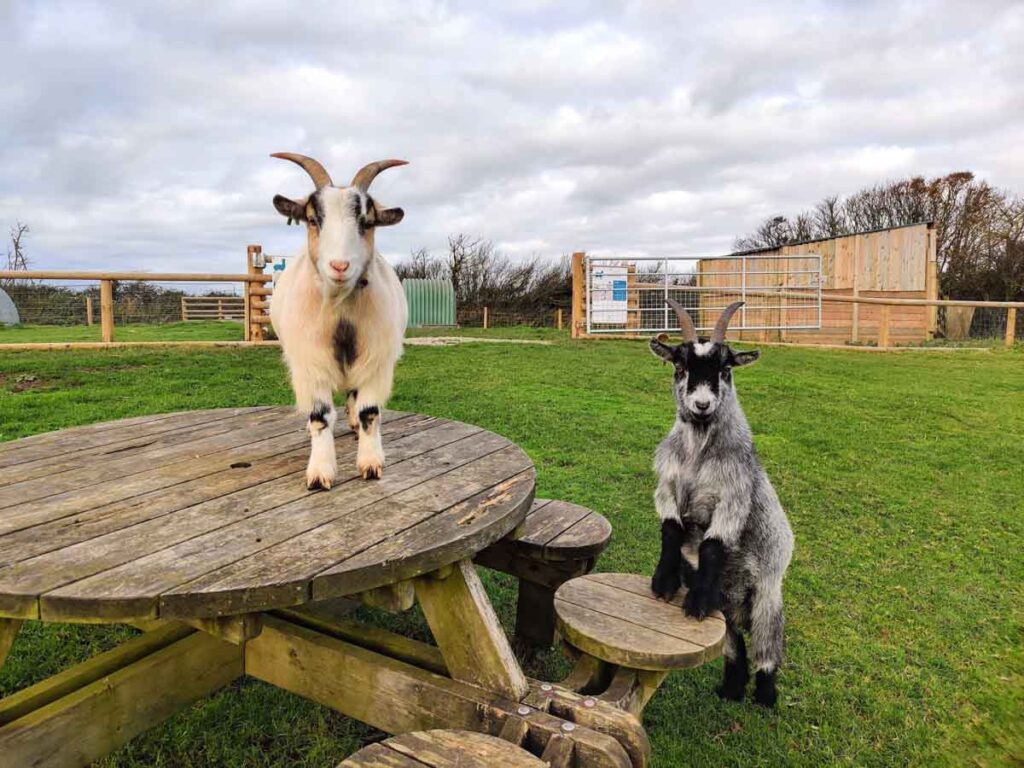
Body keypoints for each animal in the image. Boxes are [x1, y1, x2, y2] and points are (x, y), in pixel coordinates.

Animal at [270, 154, 409, 489]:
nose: (340, 266)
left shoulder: (376, 359)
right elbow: (320, 416)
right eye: (312, 219)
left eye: (367, 222)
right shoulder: (310, 363)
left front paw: (370, 464)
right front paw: (320, 473)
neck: (340, 309)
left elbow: (370, 411)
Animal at [651, 296, 794, 708]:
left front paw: (696, 604)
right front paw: (664, 583)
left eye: (726, 369)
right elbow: (671, 529)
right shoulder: (667, 486)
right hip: (728, 607)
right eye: (679, 366)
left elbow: (713, 544)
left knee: (766, 647)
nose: (702, 404)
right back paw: (731, 689)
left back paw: (764, 694)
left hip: (767, 594)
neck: (698, 456)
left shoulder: (733, 497)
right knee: (734, 645)